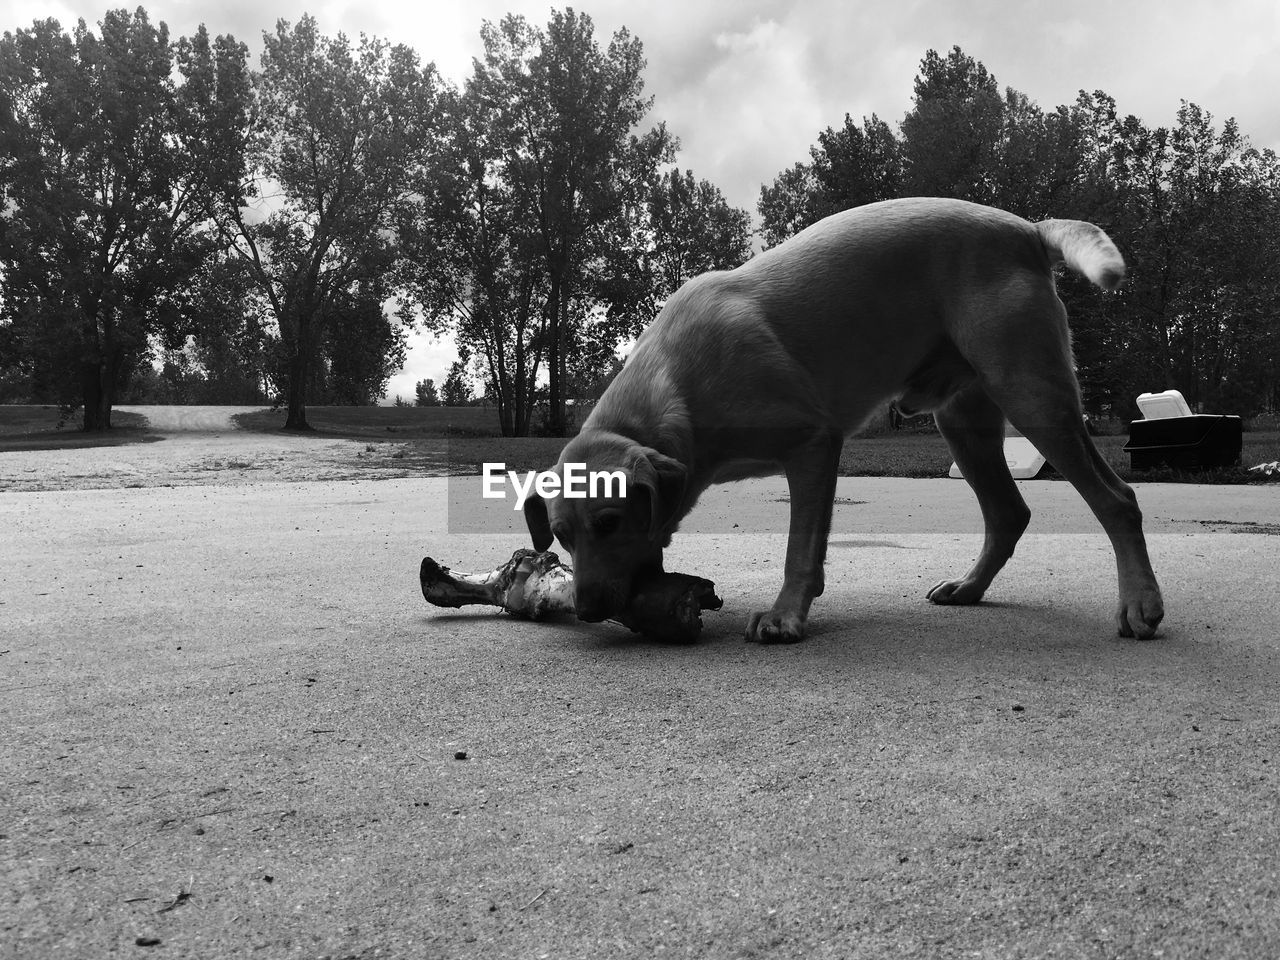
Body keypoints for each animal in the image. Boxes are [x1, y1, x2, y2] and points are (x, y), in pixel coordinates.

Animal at [524, 195, 1167, 647]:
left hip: (1033, 397)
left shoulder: (813, 445)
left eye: (609, 522)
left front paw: (785, 615)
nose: (587, 610)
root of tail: (1027, 230)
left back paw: (1140, 603)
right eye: (561, 535)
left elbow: (800, 550)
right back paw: (970, 588)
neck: (677, 381)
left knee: (1118, 500)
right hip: (965, 424)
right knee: (1010, 513)